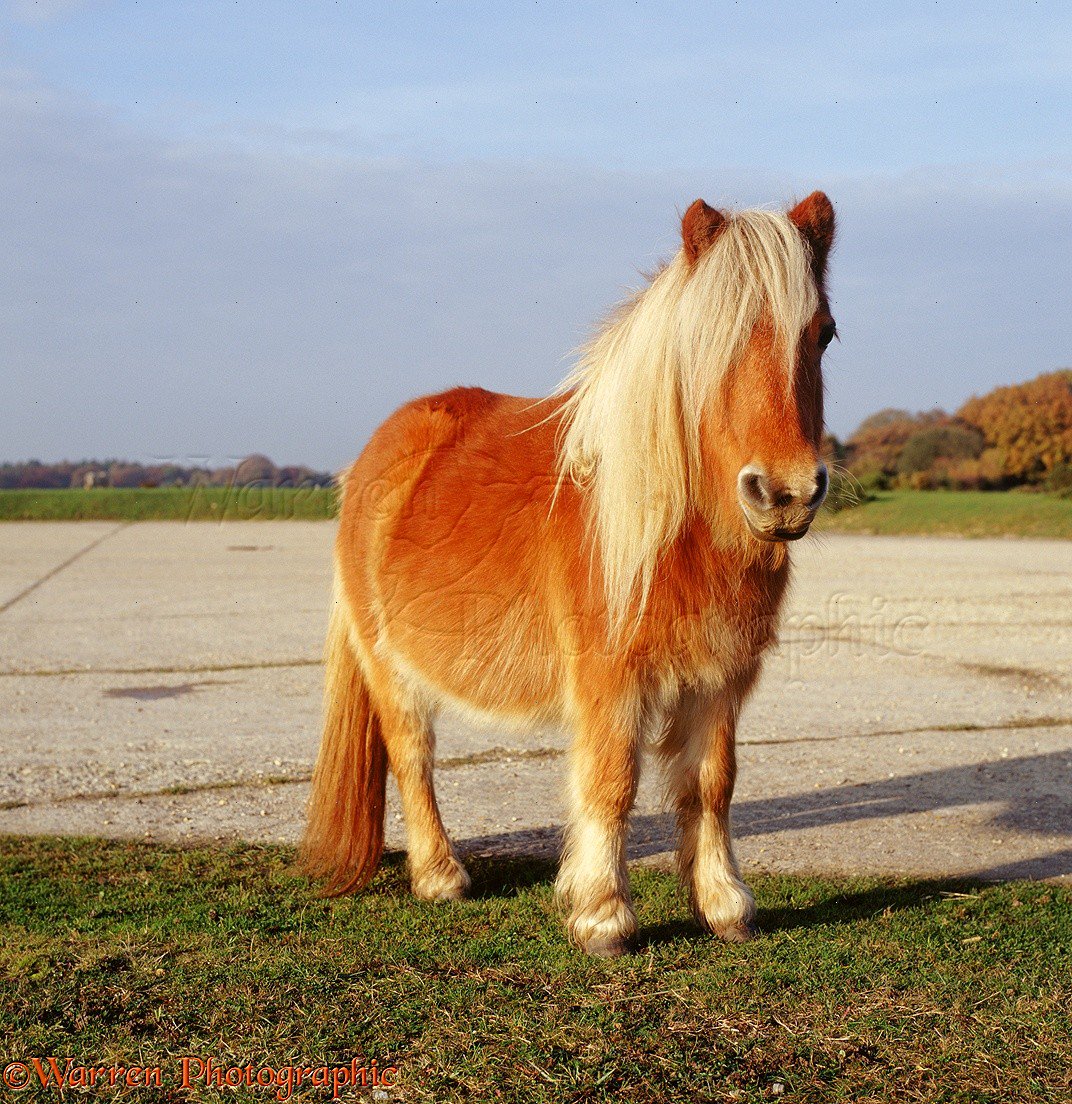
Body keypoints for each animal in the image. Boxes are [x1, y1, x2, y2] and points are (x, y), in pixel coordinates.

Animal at [302, 187, 839, 949]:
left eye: (823, 334)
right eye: (708, 340)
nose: (786, 492)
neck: (666, 530)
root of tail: (379, 449)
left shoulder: (720, 680)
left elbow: (714, 782)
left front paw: (724, 904)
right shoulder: (609, 681)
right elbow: (612, 782)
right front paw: (603, 915)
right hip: (390, 666)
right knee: (412, 755)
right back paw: (440, 876)